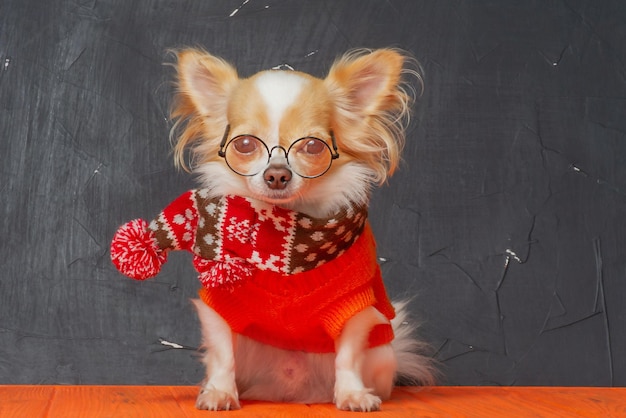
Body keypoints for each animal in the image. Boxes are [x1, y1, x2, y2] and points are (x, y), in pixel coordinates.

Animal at [166, 48, 432, 412]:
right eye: (245, 145)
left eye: (313, 147)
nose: (277, 174)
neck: (285, 231)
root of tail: (291, 392)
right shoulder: (220, 305)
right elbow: (222, 355)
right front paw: (219, 392)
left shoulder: (353, 308)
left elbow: (348, 356)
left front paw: (353, 394)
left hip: (382, 353)